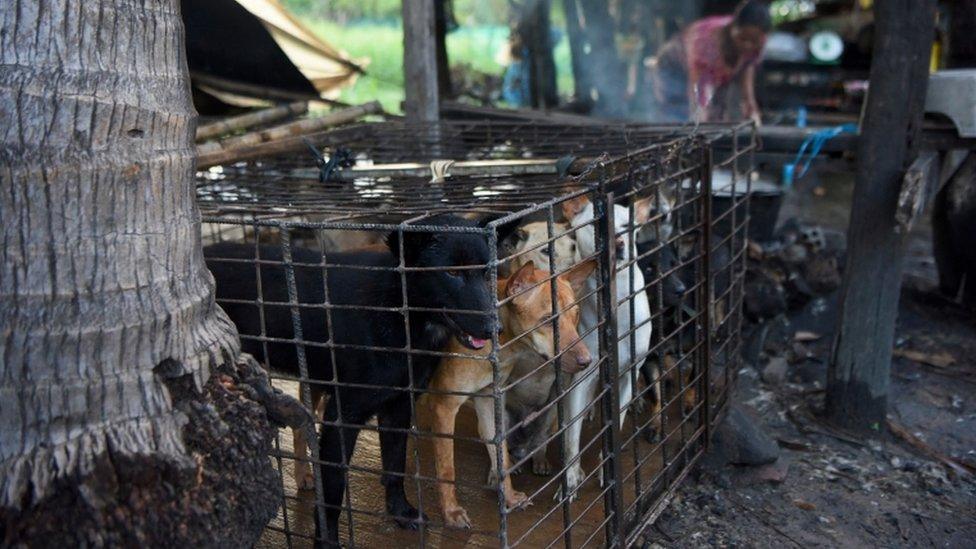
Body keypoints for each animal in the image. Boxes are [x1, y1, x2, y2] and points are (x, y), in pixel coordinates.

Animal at [426, 260, 596, 528]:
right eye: (548, 320)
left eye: (576, 314)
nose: (587, 362)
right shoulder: (444, 406)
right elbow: (446, 468)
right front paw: (450, 512)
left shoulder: (488, 402)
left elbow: (500, 456)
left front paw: (509, 497)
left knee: (535, 441)